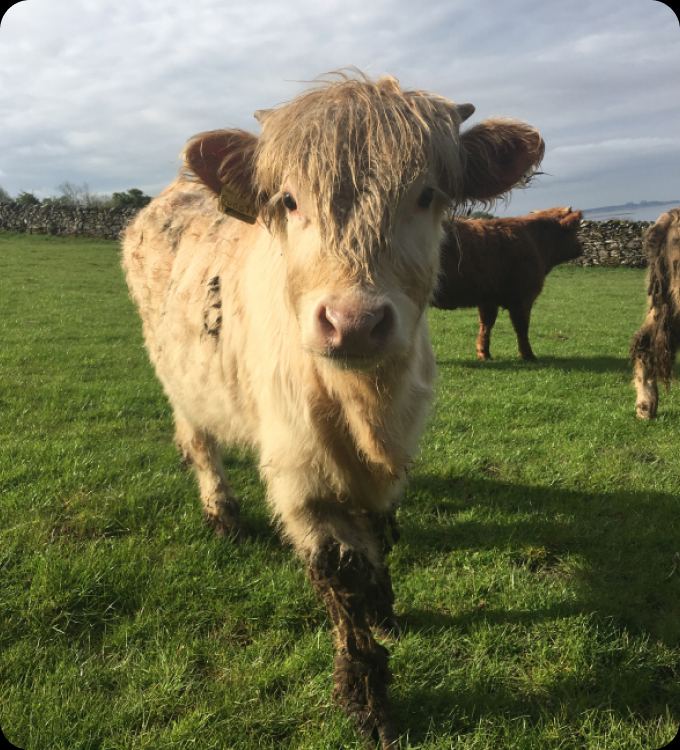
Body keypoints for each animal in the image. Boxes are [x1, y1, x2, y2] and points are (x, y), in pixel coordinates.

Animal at [122, 73, 544, 747]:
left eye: (427, 194)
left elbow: (378, 534)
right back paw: (223, 516)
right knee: (199, 442)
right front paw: (367, 701)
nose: (354, 323)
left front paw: (386, 610)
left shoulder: (394, 452)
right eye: (290, 201)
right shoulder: (303, 475)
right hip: (177, 378)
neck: (367, 409)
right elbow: (341, 570)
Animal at [432, 207, 583, 361]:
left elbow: (486, 325)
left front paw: (484, 353)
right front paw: (528, 355)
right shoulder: (522, 298)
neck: (535, 241)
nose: (581, 246)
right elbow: (522, 328)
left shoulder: (488, 300)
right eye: (574, 230)